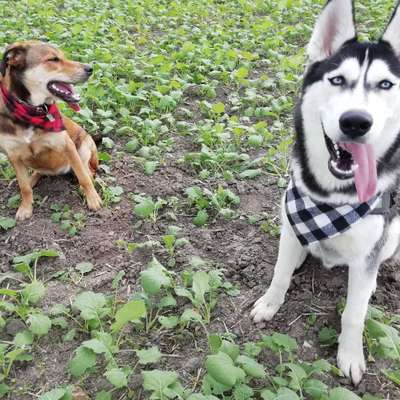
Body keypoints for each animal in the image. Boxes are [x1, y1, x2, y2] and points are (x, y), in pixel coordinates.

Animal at [0, 40, 101, 220]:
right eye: (53, 59)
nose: (90, 68)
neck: (31, 111)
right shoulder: (13, 156)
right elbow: (24, 188)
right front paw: (25, 208)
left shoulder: (67, 145)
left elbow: (84, 178)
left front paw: (93, 199)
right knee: (35, 175)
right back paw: (30, 180)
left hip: (83, 148)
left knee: (88, 172)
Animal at [252, 0, 400, 388]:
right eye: (337, 80)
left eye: (385, 84)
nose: (355, 121)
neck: (331, 197)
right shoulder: (292, 220)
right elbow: (279, 274)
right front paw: (270, 303)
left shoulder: (369, 248)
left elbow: (354, 314)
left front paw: (349, 356)